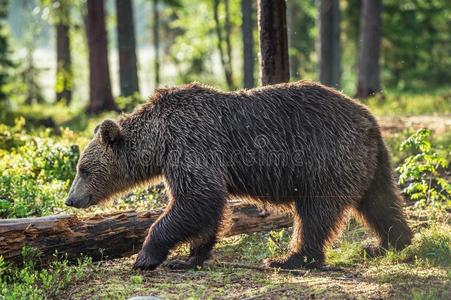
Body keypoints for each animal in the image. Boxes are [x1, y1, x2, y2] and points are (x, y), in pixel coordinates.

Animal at [65, 81, 414, 270]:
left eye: (83, 169)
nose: (71, 199)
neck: (160, 139)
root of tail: (369, 119)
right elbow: (205, 206)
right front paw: (190, 257)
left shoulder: (192, 143)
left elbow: (196, 198)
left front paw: (146, 256)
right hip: (371, 163)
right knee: (381, 203)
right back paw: (388, 243)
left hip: (324, 158)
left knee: (315, 214)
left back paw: (289, 259)